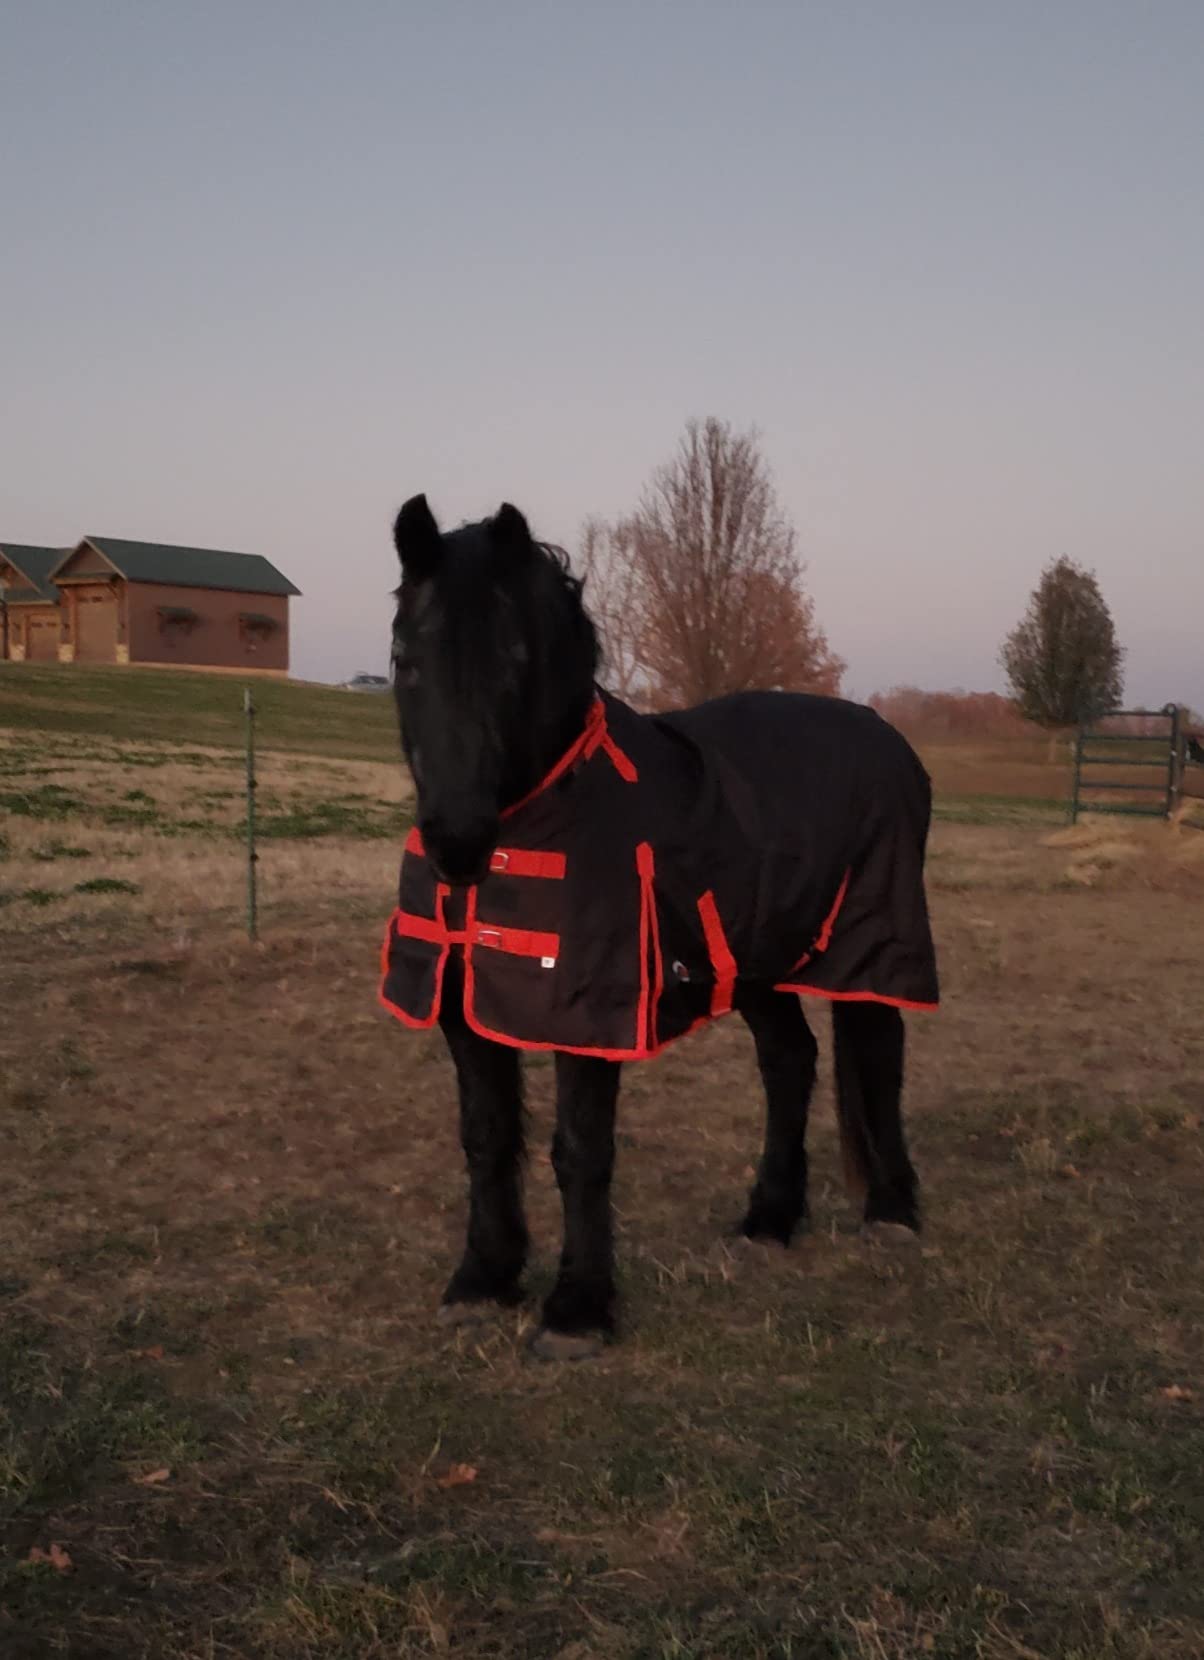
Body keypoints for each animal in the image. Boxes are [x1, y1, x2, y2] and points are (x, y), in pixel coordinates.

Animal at [382, 495, 939, 1358]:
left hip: (871, 945)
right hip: (753, 960)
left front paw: (576, 1311)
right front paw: (483, 1279)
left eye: (515, 658)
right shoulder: (462, 1005)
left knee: (878, 1057)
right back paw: (769, 1219)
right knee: (791, 1060)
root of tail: (887, 737)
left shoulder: (588, 1012)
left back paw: (890, 1214)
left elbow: (579, 1150)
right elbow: (485, 1134)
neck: (549, 803)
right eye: (405, 656)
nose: (457, 842)